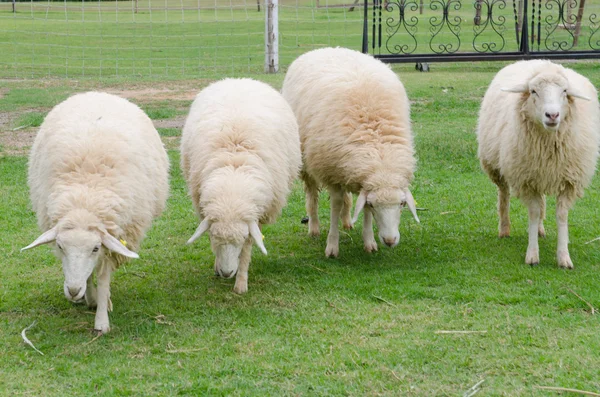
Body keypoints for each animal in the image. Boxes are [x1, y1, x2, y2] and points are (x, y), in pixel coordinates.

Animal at [21, 92, 169, 332]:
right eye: (60, 246)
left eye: (95, 248)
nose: (73, 291)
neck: (85, 199)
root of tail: (97, 93)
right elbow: (89, 275)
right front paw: (90, 298)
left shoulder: (114, 239)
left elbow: (103, 278)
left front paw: (101, 320)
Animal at [178, 78, 300, 294]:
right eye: (214, 237)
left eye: (241, 239)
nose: (227, 273)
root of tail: (238, 80)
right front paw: (218, 266)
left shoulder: (255, 216)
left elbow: (248, 249)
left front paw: (241, 282)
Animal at [282, 47, 420, 256]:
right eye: (374, 204)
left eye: (402, 204)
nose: (390, 241)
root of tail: (327, 48)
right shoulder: (331, 173)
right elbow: (335, 205)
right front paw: (332, 246)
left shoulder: (359, 177)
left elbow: (360, 210)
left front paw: (369, 241)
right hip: (307, 162)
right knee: (312, 194)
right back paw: (314, 227)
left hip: (344, 168)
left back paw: (347, 222)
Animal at [476, 59, 596, 270]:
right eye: (533, 91)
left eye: (565, 91)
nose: (552, 115)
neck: (548, 146)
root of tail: (535, 61)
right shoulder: (526, 180)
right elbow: (533, 213)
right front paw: (532, 254)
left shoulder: (568, 181)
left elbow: (561, 216)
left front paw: (564, 256)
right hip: (496, 166)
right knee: (504, 194)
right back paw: (504, 228)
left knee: (542, 202)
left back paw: (540, 230)